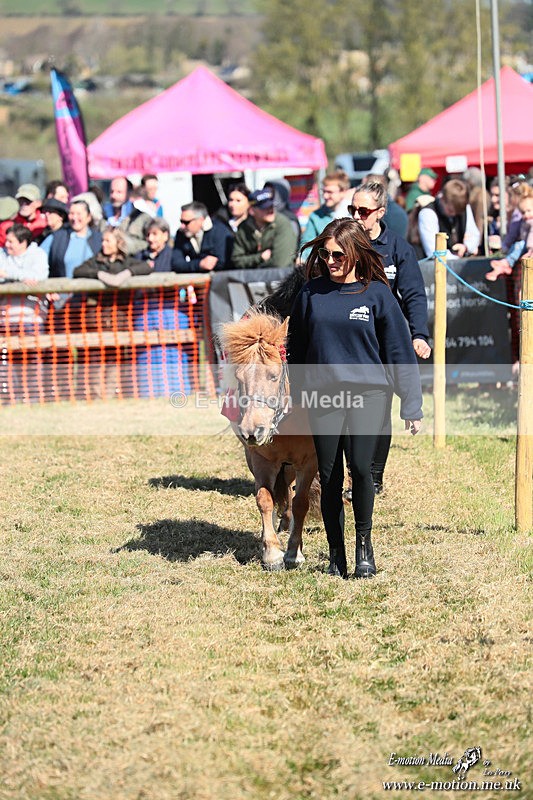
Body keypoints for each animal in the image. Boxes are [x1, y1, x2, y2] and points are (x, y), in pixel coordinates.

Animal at [219, 309, 318, 571]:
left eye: (274, 376)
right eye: (239, 377)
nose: (252, 431)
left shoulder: (309, 462)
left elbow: (301, 502)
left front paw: (294, 552)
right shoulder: (260, 459)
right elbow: (264, 499)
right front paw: (272, 553)